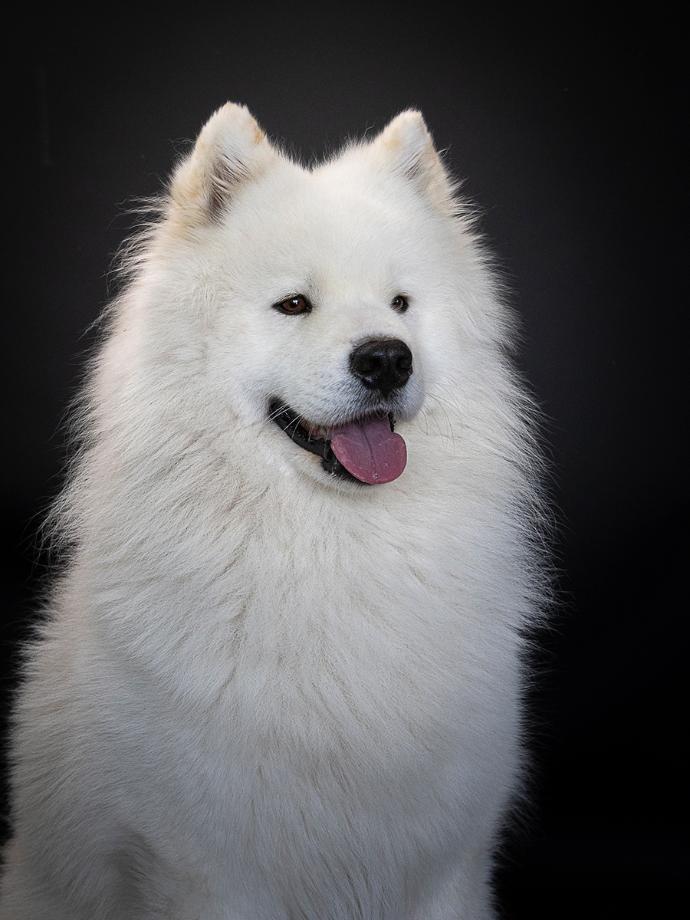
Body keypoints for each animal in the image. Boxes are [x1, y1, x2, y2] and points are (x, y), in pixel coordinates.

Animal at [1, 104, 548, 916]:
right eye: (294, 304)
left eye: (400, 304)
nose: (388, 358)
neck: (335, 550)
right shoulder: (207, 867)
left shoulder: (447, 860)